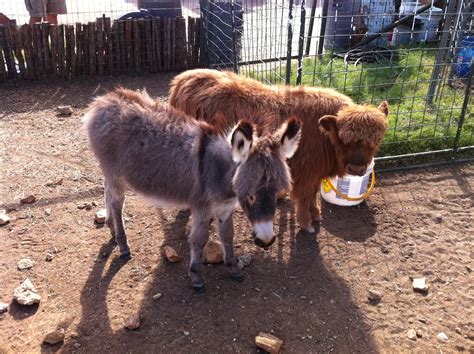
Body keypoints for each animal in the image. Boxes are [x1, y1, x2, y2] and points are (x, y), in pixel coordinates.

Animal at [170, 69, 388, 232]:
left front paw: (316, 215)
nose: (357, 169)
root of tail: (183, 80)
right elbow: (304, 197)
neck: (324, 136)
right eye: (344, 139)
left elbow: (313, 195)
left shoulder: (315, 173)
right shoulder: (306, 173)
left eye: (377, 139)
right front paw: (307, 223)